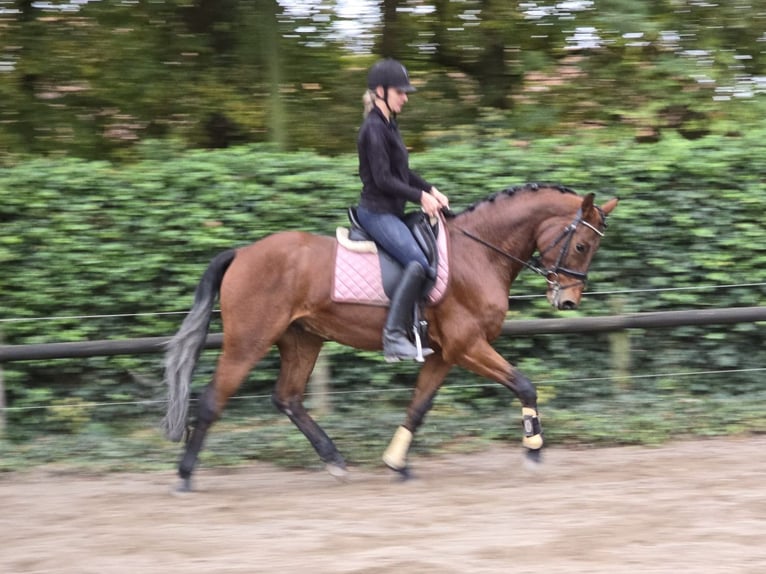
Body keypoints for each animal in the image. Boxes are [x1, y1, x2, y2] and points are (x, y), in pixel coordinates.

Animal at [162, 184, 616, 490]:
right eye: (581, 245)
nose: (568, 301)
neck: (479, 253)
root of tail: (242, 253)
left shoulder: (446, 353)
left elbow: (418, 406)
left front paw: (396, 462)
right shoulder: (468, 346)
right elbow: (524, 385)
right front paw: (534, 447)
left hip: (302, 340)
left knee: (287, 398)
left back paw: (335, 460)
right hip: (249, 341)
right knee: (213, 399)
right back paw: (184, 476)